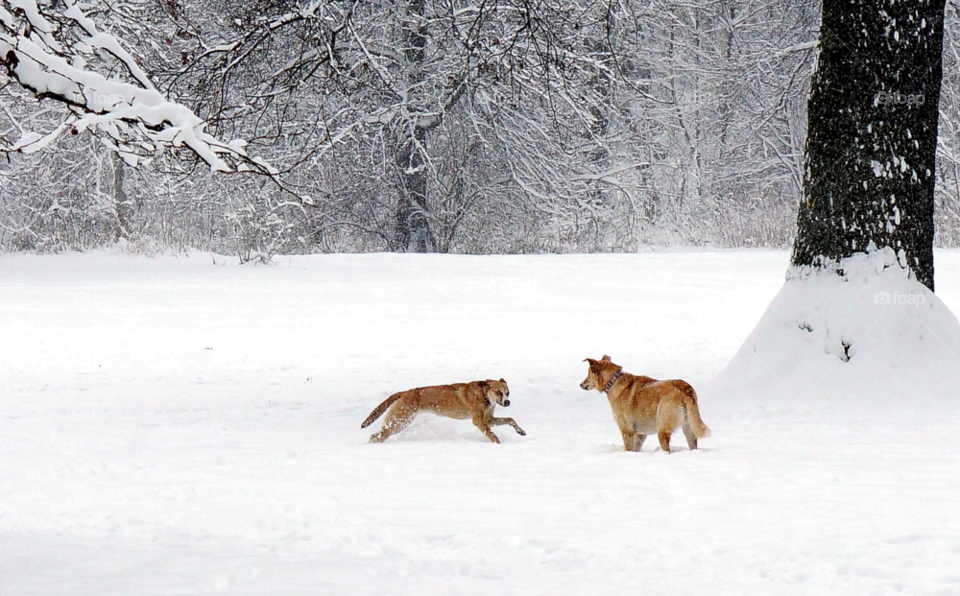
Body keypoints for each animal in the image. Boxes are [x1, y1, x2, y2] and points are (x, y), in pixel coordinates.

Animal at [360, 382, 524, 442]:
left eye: (507, 392)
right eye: (498, 392)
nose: (507, 402)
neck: (484, 394)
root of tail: (404, 392)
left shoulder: (489, 419)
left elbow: (510, 419)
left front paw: (520, 431)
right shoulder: (479, 420)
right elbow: (491, 434)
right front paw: (498, 444)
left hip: (400, 422)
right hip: (399, 421)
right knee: (377, 435)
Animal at [580, 354, 708, 452]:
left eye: (588, 373)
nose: (581, 384)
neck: (613, 381)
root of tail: (684, 389)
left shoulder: (626, 430)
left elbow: (628, 448)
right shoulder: (640, 434)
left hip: (662, 428)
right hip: (689, 428)